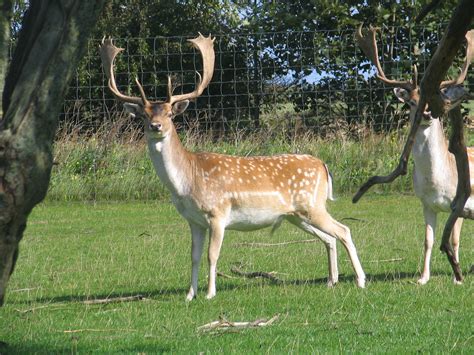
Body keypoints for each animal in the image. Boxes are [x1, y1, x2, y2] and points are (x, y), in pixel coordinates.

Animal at [99, 33, 366, 302]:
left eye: (170, 114)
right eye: (143, 115)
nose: (156, 126)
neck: (187, 183)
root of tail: (323, 165)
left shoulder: (218, 212)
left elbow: (212, 255)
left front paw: (210, 293)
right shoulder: (194, 221)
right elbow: (193, 256)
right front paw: (189, 295)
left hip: (312, 206)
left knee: (344, 230)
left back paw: (360, 281)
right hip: (296, 215)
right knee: (329, 238)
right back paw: (331, 281)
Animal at [356, 26, 474, 286]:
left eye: (433, 98)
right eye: (411, 102)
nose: (428, 113)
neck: (438, 181)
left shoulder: (460, 202)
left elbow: (454, 240)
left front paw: (457, 278)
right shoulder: (426, 204)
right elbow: (428, 240)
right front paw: (423, 278)